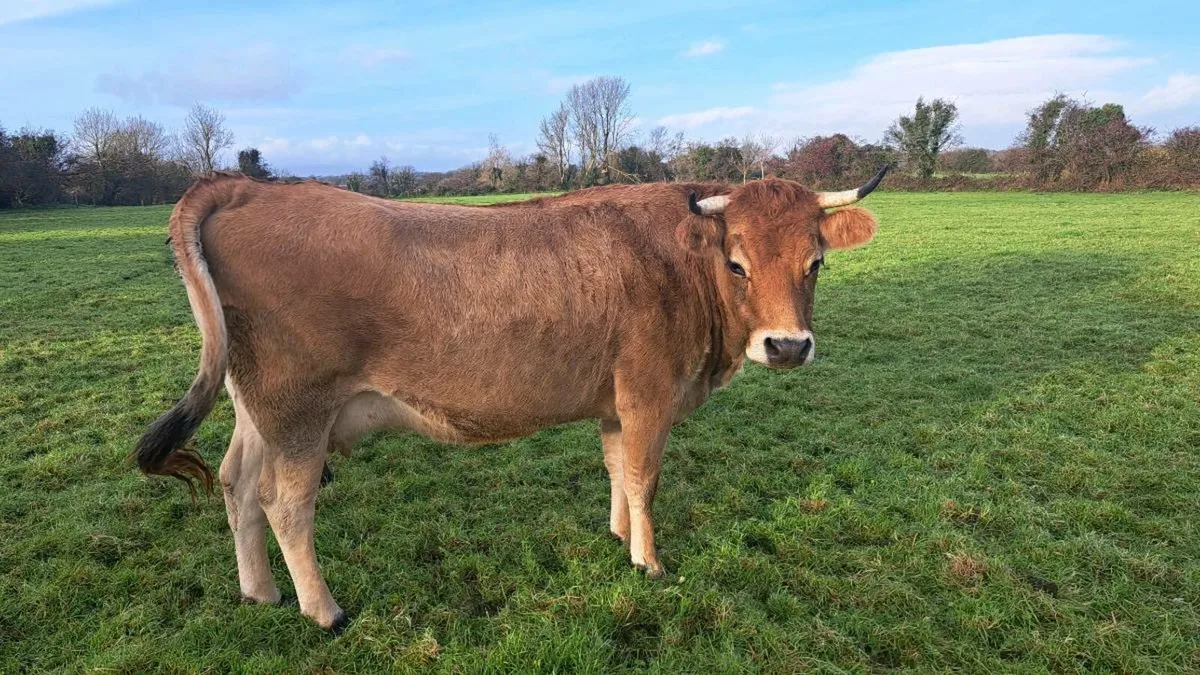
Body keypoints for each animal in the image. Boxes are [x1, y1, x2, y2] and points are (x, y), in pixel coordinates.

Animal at [133, 167, 889, 631]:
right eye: (737, 262)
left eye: (815, 262)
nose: (787, 346)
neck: (680, 266)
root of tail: (242, 188)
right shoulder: (649, 393)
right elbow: (645, 477)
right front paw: (648, 562)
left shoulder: (615, 402)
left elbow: (618, 470)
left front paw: (619, 536)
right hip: (298, 409)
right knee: (284, 503)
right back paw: (324, 610)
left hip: (257, 406)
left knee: (235, 483)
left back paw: (258, 592)